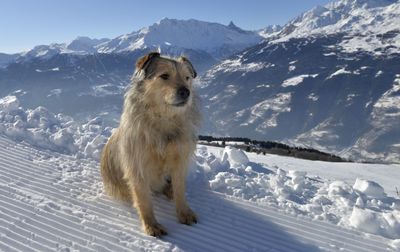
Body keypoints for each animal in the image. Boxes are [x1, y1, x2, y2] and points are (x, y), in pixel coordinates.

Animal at [100, 51, 200, 236]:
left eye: (187, 77)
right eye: (164, 76)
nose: (186, 92)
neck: (164, 120)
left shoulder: (179, 161)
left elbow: (180, 190)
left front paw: (184, 212)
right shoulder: (137, 167)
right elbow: (143, 200)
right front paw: (151, 225)